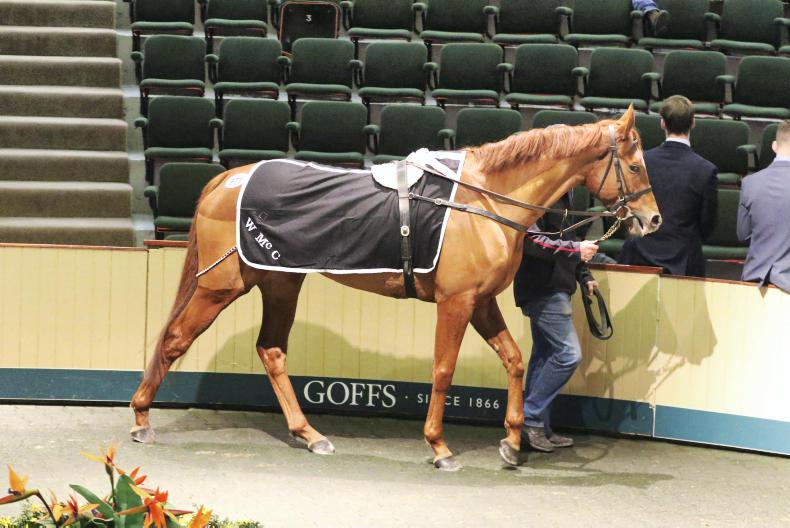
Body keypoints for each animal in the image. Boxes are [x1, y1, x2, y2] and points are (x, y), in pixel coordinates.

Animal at [130, 106, 661, 471]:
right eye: (636, 166)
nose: (653, 219)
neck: (482, 201)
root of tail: (226, 180)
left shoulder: (481, 302)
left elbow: (513, 361)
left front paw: (512, 442)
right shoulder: (456, 303)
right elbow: (443, 370)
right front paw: (440, 446)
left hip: (280, 284)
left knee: (272, 350)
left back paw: (309, 434)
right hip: (220, 287)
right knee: (175, 340)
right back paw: (140, 419)